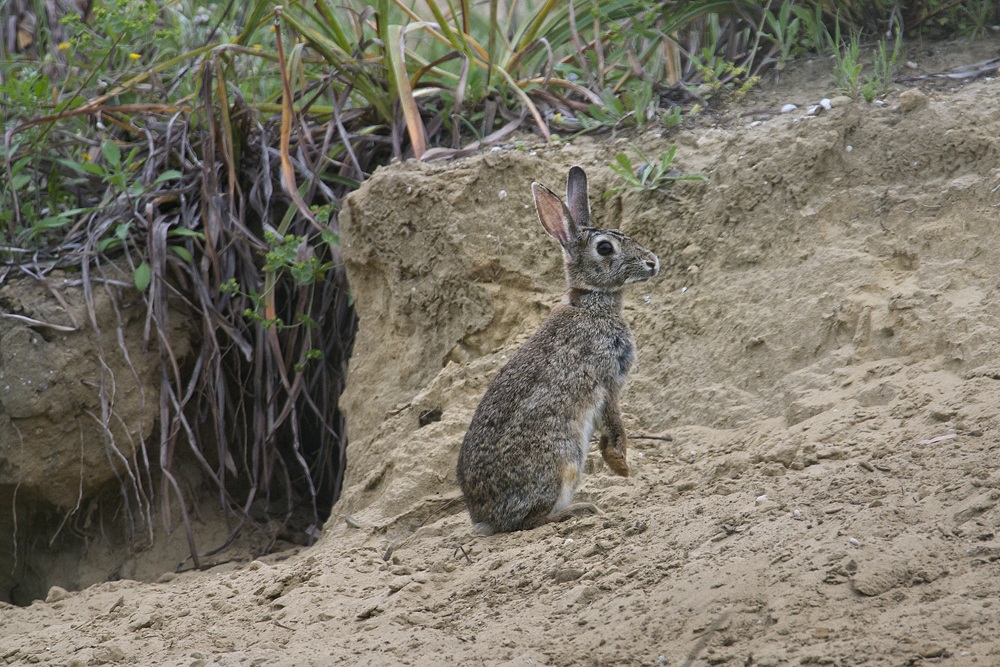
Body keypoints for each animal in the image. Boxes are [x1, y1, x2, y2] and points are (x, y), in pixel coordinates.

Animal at [456, 165, 659, 535]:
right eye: (605, 248)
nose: (653, 263)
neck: (591, 304)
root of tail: (485, 517)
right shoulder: (606, 380)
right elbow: (616, 424)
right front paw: (621, 466)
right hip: (564, 459)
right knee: (529, 521)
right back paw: (577, 510)